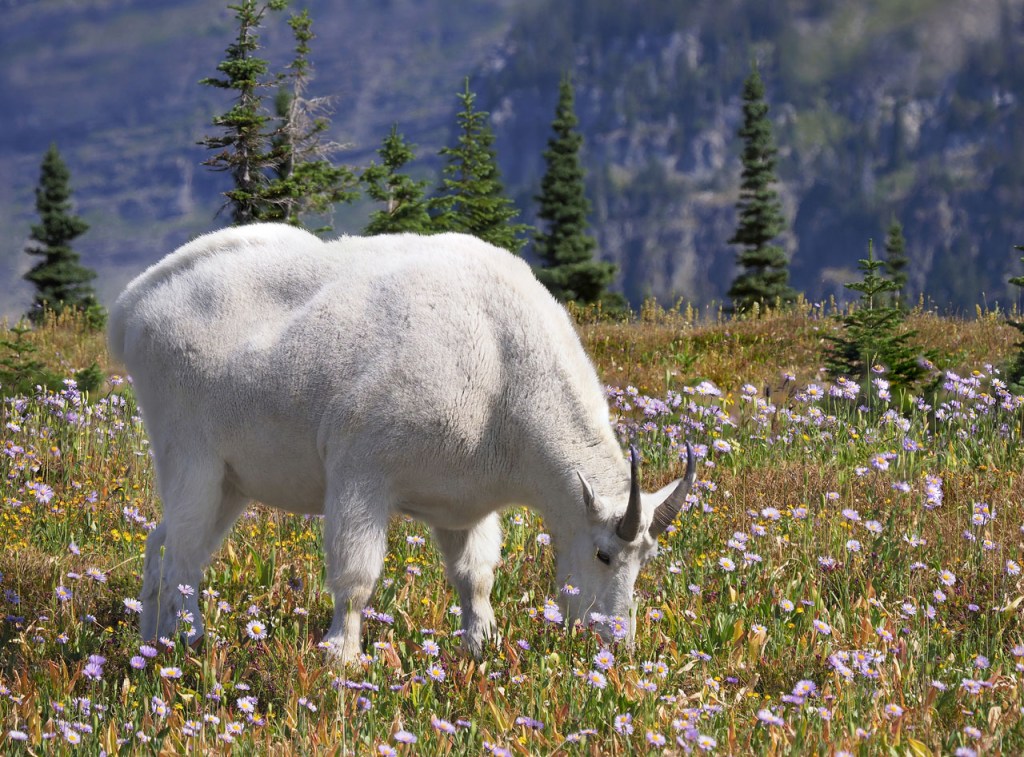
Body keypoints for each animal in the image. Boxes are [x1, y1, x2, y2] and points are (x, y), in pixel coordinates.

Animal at [108, 223, 696, 663]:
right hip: (191, 454)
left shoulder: (463, 505)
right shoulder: (361, 469)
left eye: (647, 557)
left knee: (161, 546)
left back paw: (151, 645)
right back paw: (191, 642)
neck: (503, 370)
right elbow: (356, 576)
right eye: (603, 554)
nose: (616, 644)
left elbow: (474, 578)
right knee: (183, 558)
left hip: (231, 481)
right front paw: (341, 657)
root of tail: (131, 309)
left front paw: (480, 647)